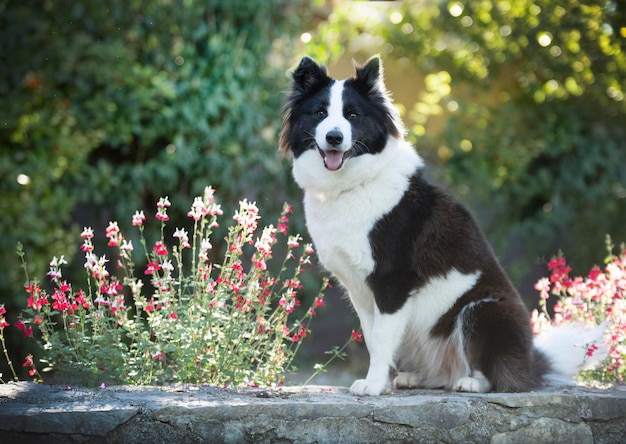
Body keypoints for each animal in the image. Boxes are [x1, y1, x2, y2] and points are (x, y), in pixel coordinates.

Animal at [280, 55, 604, 396]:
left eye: (352, 115)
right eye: (320, 113)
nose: (334, 137)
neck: (354, 183)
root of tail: (530, 363)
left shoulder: (393, 281)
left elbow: (380, 341)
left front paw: (374, 385)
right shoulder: (361, 291)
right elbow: (372, 337)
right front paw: (380, 381)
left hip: (480, 309)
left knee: (500, 375)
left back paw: (472, 382)